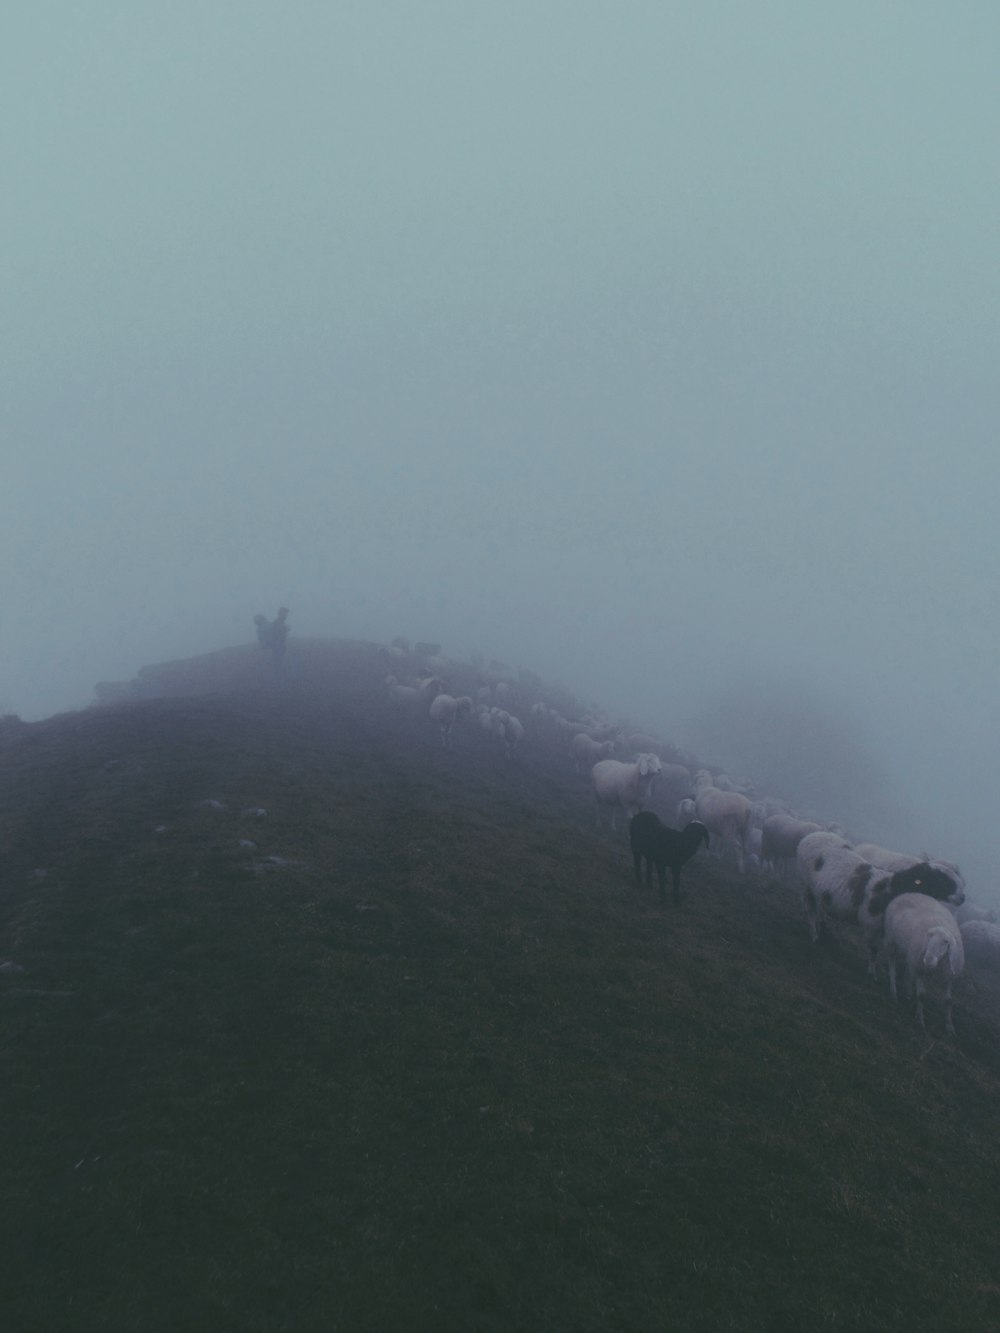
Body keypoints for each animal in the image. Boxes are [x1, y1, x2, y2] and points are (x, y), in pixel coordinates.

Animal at [794, 826, 965, 975]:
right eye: (942, 879)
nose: (963, 898)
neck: (892, 887)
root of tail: (813, 835)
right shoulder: (871, 924)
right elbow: (873, 950)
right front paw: (872, 973)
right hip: (804, 882)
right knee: (810, 909)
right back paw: (814, 935)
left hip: (816, 889)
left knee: (817, 907)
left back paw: (820, 927)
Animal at [890, 895, 965, 1039]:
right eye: (929, 936)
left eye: (945, 942)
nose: (928, 960)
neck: (935, 967)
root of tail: (910, 893)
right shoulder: (920, 970)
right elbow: (921, 995)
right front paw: (920, 1020)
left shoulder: (948, 978)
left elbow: (948, 1000)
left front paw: (949, 1027)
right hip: (892, 941)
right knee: (892, 965)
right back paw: (893, 990)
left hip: (909, 954)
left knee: (908, 970)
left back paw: (907, 992)